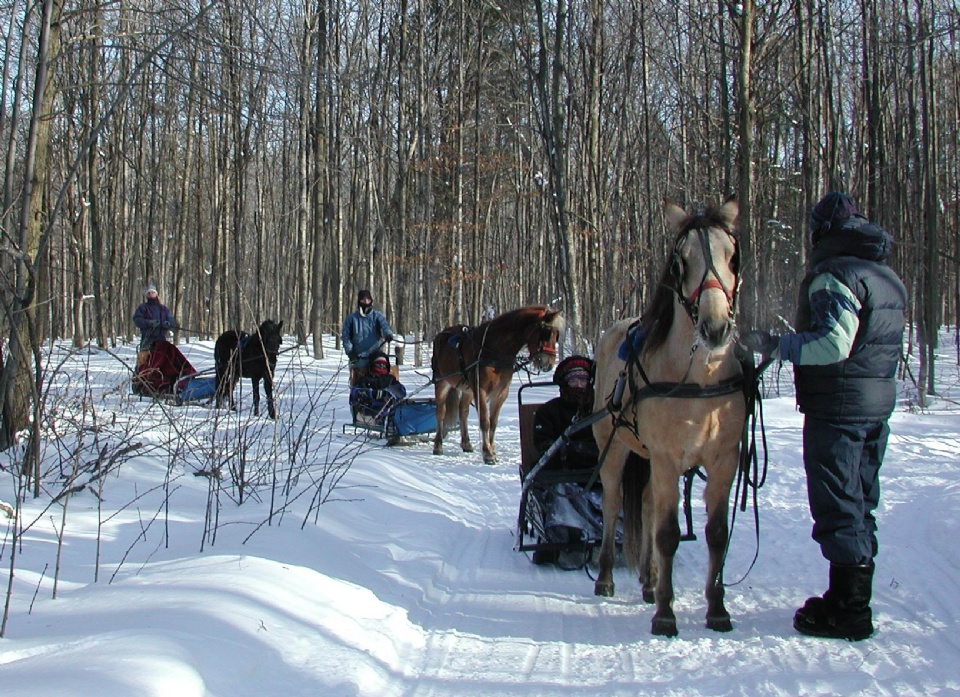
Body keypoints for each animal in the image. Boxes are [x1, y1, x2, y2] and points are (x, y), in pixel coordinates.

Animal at [434, 304, 568, 462]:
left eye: (557, 334)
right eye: (546, 333)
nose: (549, 364)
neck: (494, 349)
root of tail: (442, 334)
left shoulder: (500, 392)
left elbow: (493, 423)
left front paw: (492, 451)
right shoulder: (480, 390)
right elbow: (485, 422)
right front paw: (487, 454)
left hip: (467, 389)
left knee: (463, 412)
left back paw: (466, 444)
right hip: (441, 382)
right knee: (440, 412)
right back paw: (438, 446)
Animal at [592, 197, 752, 636]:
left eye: (733, 257)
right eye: (681, 261)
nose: (715, 328)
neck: (698, 380)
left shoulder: (724, 460)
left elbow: (716, 534)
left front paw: (717, 608)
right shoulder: (666, 458)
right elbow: (667, 534)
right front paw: (665, 613)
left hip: (647, 456)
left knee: (646, 502)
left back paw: (649, 580)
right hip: (615, 448)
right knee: (613, 503)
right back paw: (606, 577)